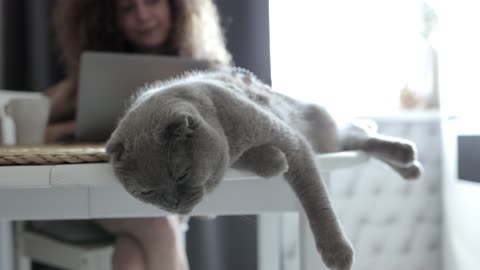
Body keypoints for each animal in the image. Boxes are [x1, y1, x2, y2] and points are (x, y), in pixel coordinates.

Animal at [107, 68, 422, 270]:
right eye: (146, 192)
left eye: (181, 174)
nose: (173, 203)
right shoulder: (245, 149)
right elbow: (252, 158)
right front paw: (273, 160)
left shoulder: (292, 141)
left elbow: (316, 201)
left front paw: (337, 252)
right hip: (326, 141)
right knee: (356, 139)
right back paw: (408, 164)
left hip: (322, 134)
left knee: (357, 134)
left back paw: (406, 155)